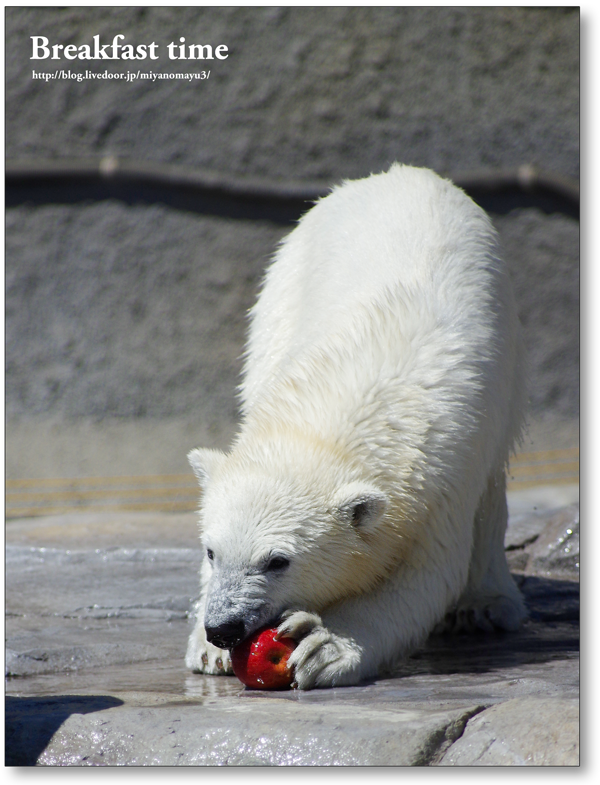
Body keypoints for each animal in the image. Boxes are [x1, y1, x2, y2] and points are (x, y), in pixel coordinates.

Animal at [185, 164, 528, 688]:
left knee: (491, 493)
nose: (222, 627)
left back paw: (486, 605)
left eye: (277, 560)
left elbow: (422, 578)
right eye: (211, 551)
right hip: (282, 285)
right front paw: (205, 651)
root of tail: (402, 172)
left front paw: (321, 645)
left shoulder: (443, 476)